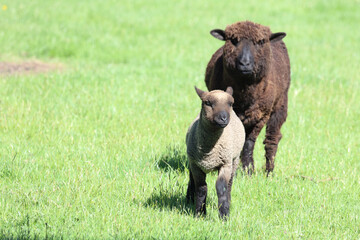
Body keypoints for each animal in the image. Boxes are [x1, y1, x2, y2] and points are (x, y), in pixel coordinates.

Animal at [186, 86, 245, 219]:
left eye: (230, 103)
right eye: (207, 103)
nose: (223, 118)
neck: (209, 152)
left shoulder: (225, 164)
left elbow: (221, 188)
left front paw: (224, 214)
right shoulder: (196, 165)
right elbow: (201, 188)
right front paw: (199, 213)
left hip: (234, 160)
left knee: (229, 184)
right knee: (191, 180)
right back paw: (189, 199)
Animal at [205, 20, 290, 174]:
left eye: (260, 41)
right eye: (233, 40)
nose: (244, 63)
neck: (245, 95)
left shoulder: (261, 116)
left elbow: (249, 142)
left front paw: (248, 170)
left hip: (280, 106)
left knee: (272, 138)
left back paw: (269, 171)